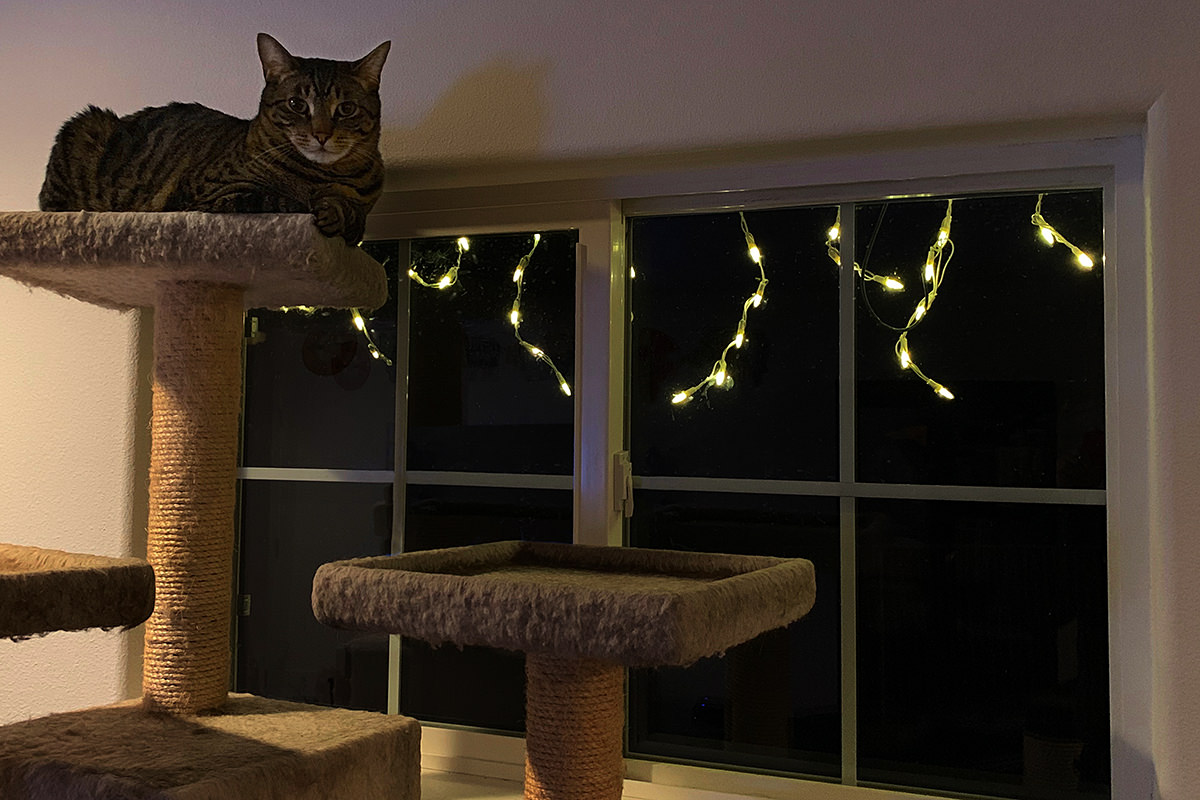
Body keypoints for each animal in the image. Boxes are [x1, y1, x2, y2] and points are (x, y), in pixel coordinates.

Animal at [39, 32, 388, 244]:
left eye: (346, 109)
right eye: (297, 104)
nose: (321, 134)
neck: (326, 176)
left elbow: (354, 219)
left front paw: (341, 214)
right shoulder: (213, 191)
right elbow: (286, 200)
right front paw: (322, 207)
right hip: (86, 125)